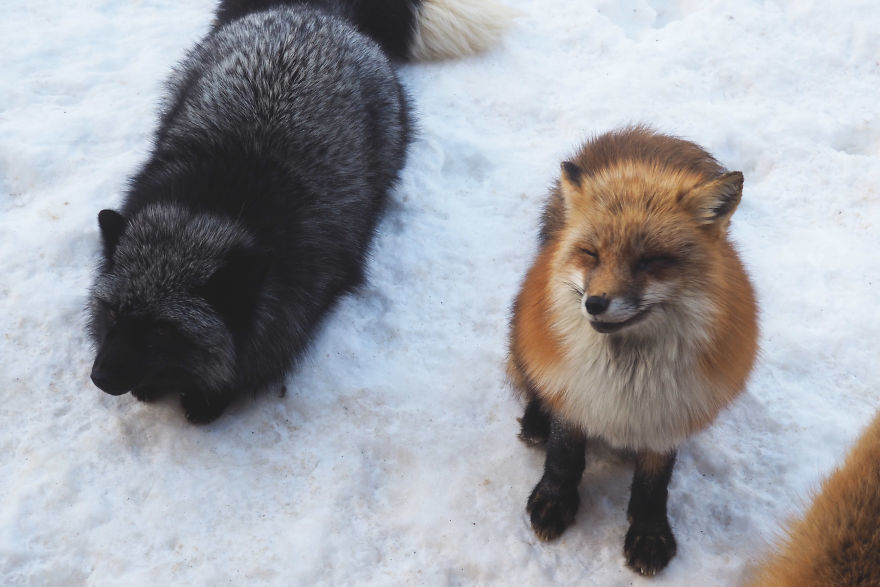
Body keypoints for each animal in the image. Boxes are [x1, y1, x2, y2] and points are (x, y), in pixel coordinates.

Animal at [86, 0, 512, 422]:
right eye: (113, 314)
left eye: (162, 330)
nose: (99, 378)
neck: (217, 202)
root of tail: (311, 10)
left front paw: (210, 396)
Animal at [512, 126, 760, 576]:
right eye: (591, 254)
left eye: (650, 261)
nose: (594, 303)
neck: (627, 375)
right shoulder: (575, 389)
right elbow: (563, 455)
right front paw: (555, 500)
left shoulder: (672, 410)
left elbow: (653, 482)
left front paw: (648, 532)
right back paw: (536, 418)